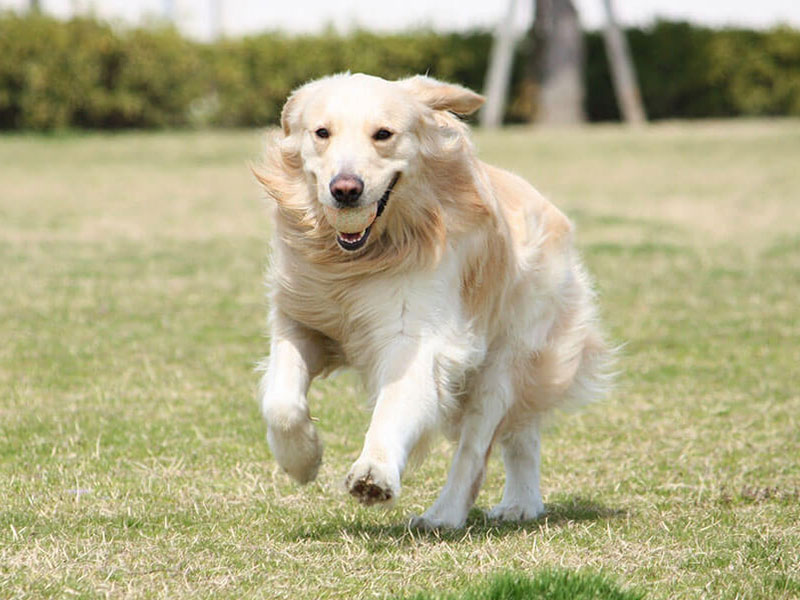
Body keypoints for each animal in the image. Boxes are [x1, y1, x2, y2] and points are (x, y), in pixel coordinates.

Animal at [256, 75, 612, 528]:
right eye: (321, 133)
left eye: (383, 134)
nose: (346, 189)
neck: (360, 258)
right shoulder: (300, 318)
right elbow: (281, 402)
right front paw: (302, 459)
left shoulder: (419, 340)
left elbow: (394, 406)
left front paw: (374, 473)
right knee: (522, 433)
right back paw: (521, 503)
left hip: (505, 361)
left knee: (476, 449)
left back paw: (445, 514)